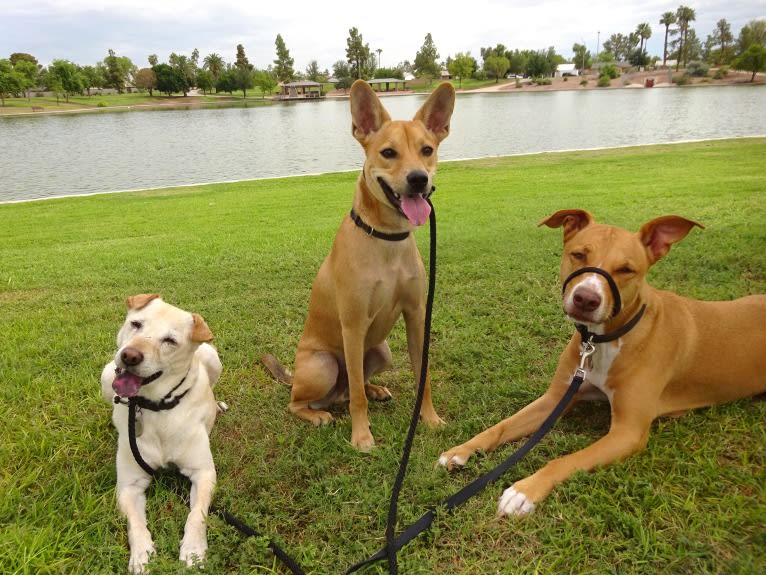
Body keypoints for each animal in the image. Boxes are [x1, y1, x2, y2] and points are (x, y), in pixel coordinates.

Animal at [100, 294, 224, 572]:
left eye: (170, 340)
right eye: (136, 324)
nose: (130, 356)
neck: (155, 406)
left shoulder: (203, 473)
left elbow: (197, 514)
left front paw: (193, 550)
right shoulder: (129, 484)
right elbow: (135, 524)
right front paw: (142, 554)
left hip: (212, 356)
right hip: (107, 373)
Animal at [264, 81, 456, 450]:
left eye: (427, 149)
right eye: (388, 153)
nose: (418, 179)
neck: (386, 239)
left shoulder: (416, 316)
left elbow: (421, 378)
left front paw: (429, 419)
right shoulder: (352, 327)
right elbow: (356, 398)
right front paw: (362, 437)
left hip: (381, 351)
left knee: (352, 386)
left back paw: (375, 388)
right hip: (323, 365)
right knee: (309, 399)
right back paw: (317, 414)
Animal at [438, 210, 766, 516]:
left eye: (626, 269)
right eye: (579, 254)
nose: (585, 298)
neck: (603, 341)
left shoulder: (628, 432)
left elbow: (565, 460)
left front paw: (525, 490)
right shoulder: (556, 399)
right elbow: (500, 427)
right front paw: (461, 450)